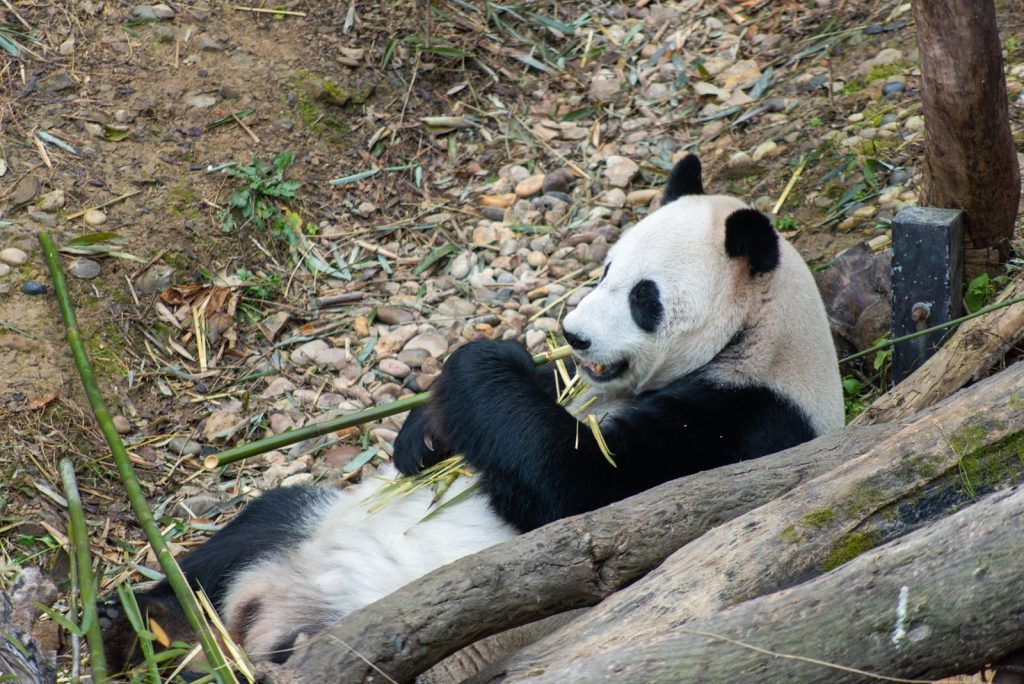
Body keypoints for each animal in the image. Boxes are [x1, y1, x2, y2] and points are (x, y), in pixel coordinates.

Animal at [103, 154, 844, 671]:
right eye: (605, 268)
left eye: (644, 297)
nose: (574, 333)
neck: (758, 337)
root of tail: (267, 624)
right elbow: (523, 399)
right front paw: (422, 436)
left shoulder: (744, 425)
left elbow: (583, 489)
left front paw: (473, 362)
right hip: (309, 522)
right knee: (244, 536)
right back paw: (145, 625)